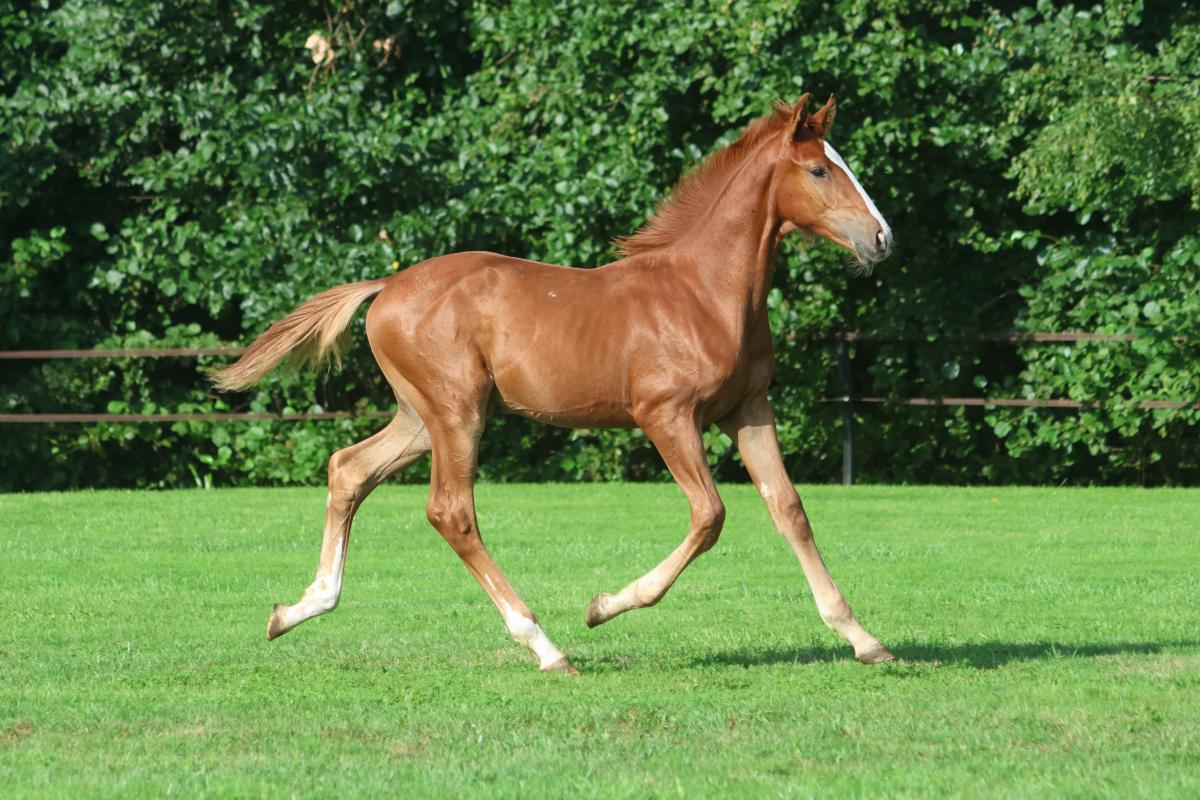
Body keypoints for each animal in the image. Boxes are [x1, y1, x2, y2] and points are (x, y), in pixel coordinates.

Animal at [211, 93, 894, 674]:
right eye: (819, 171)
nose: (881, 238)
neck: (704, 293)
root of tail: (386, 286)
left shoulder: (748, 408)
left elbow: (790, 509)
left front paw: (864, 639)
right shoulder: (665, 414)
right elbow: (710, 515)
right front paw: (604, 606)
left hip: (419, 416)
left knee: (348, 469)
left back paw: (296, 610)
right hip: (457, 413)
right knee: (451, 511)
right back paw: (547, 646)